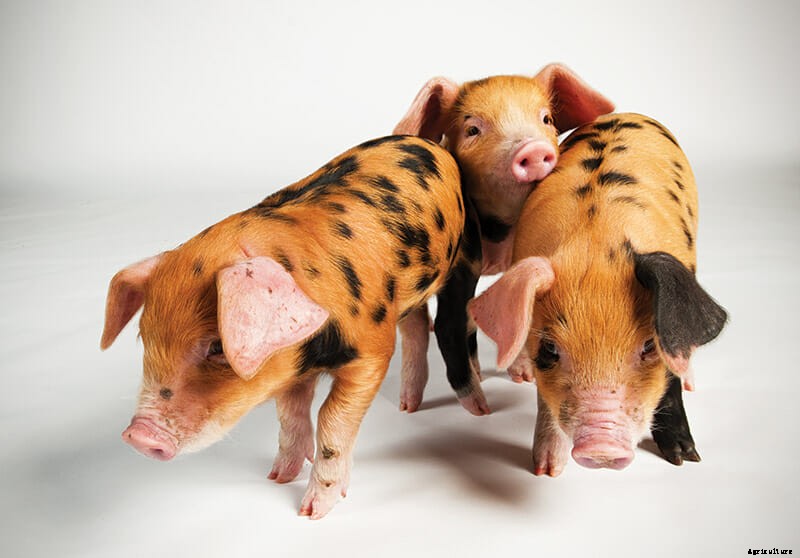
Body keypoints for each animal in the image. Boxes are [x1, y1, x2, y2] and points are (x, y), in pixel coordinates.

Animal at [100, 135, 465, 519]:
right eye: (145, 336)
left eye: (217, 346)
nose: (137, 435)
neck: (313, 354)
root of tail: (426, 142)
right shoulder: (289, 369)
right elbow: (290, 413)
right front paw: (277, 477)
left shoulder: (372, 353)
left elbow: (331, 418)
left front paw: (311, 512)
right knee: (416, 324)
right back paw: (408, 406)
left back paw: (407, 407)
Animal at [393, 63, 615, 415]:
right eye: (472, 129)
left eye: (546, 119)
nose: (533, 149)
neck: (502, 230)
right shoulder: (461, 263)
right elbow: (448, 325)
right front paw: (481, 410)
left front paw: (523, 378)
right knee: (418, 328)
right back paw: (409, 407)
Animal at [468, 113, 728, 474]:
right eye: (550, 349)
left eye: (649, 346)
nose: (601, 448)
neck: (596, 240)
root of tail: (628, 114)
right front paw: (547, 470)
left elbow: (670, 381)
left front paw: (685, 458)